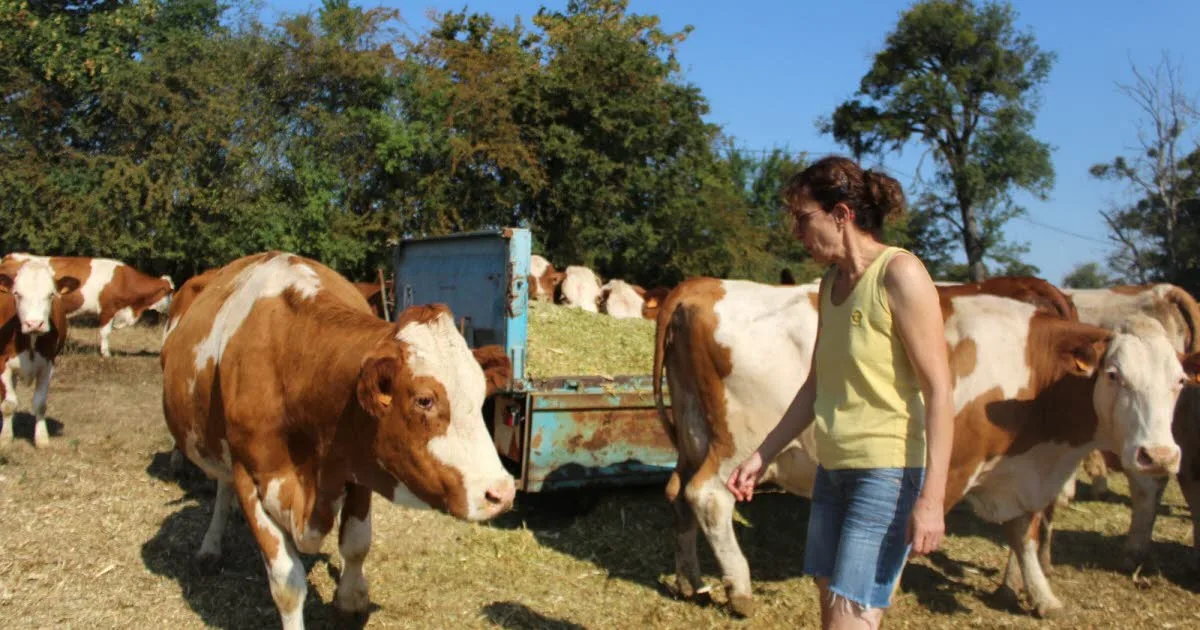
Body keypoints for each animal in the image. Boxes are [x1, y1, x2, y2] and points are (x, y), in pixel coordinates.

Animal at [0, 259, 79, 448]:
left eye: (51, 294)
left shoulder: (48, 364)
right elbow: (8, 404)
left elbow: (40, 404)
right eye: (17, 294)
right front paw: (5, 438)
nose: (34, 323)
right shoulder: (1, 362)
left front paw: (42, 438)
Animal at [161, 251, 517, 629]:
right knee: (222, 484)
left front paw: (351, 601)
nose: (501, 492)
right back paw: (210, 548)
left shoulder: (356, 464)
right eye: (424, 400)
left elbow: (357, 543)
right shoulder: (252, 477)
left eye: (481, 392)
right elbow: (287, 583)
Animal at [653, 277, 1194, 618]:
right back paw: (740, 587)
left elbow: (1023, 533)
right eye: (1114, 375)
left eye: (1180, 382)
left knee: (678, 495)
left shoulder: (1017, 472)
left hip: (693, 434)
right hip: (738, 446)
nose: (1161, 456)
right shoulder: (949, 466)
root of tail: (702, 285)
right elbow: (907, 533)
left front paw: (1041, 596)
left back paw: (691, 580)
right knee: (707, 498)